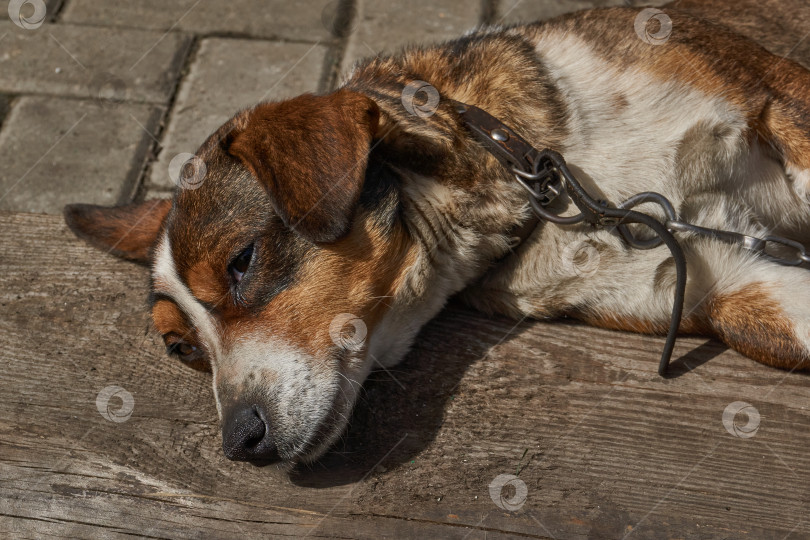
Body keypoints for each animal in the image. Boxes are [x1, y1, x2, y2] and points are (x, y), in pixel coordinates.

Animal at [64, 1, 810, 464]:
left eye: (242, 261)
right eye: (181, 349)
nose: (242, 442)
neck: (541, 177)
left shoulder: (781, 99)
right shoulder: (728, 281)